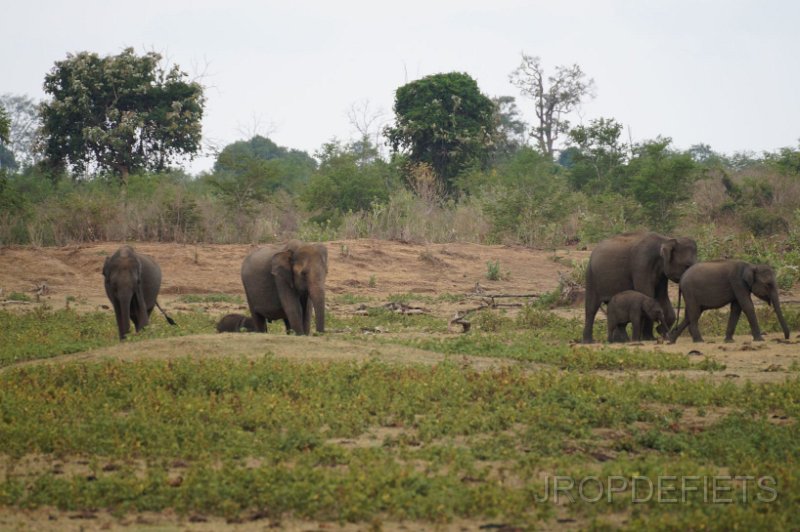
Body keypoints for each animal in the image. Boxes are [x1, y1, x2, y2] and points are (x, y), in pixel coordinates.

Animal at [664, 260, 792, 342]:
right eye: (768, 285)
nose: (785, 338)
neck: (751, 266)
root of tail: (681, 279)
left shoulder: (739, 286)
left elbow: (736, 309)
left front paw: (729, 340)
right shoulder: (738, 283)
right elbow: (747, 306)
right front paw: (760, 340)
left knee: (689, 315)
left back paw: (672, 340)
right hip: (690, 292)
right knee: (694, 314)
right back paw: (699, 341)